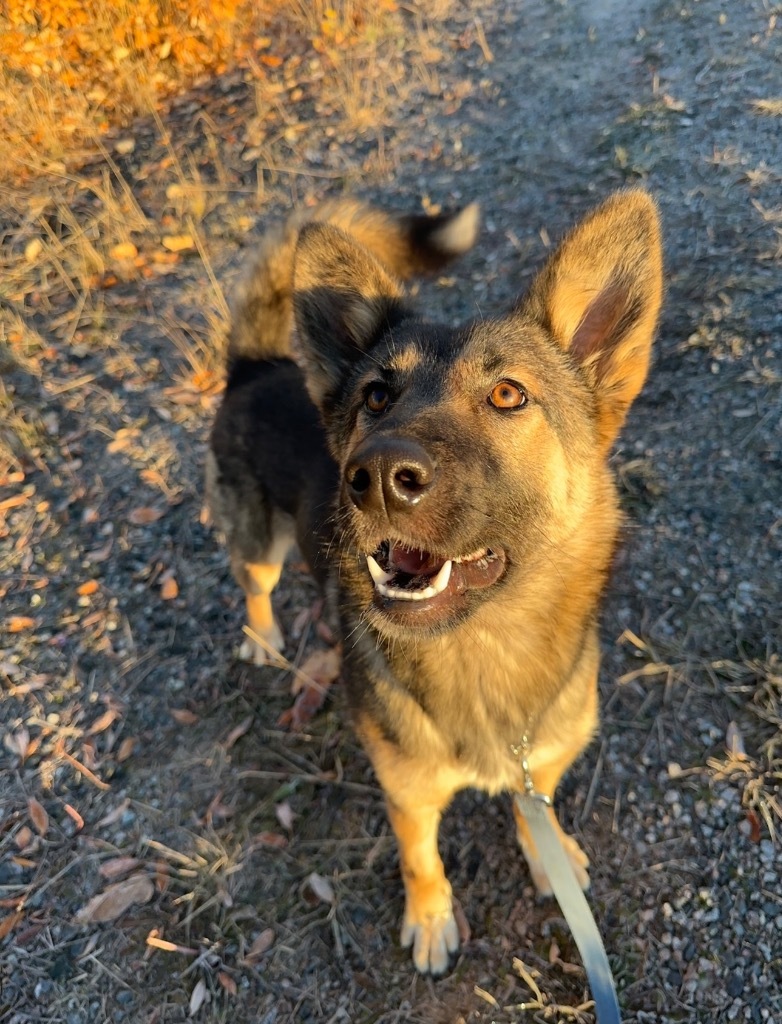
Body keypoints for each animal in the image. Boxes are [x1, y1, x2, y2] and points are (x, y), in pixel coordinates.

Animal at [207, 193, 659, 974]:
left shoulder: (541, 762)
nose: (379, 477)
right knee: (255, 588)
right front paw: (430, 918)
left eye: (508, 394)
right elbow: (422, 861)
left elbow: (534, 808)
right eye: (376, 396)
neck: (483, 645)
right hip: (258, 545)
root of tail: (257, 368)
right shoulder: (408, 795)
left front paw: (549, 853)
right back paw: (263, 639)